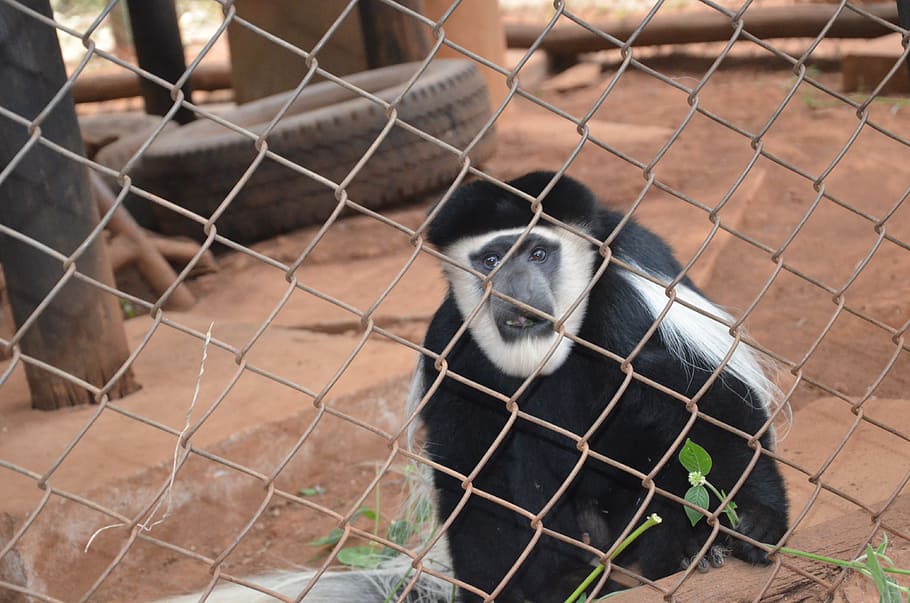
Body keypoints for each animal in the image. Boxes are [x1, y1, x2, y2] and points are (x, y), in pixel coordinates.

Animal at [158, 172, 787, 603]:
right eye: (490, 260)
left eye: (538, 252)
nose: (516, 288)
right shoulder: (450, 347)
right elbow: (468, 473)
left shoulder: (626, 291)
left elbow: (707, 394)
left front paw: (756, 525)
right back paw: (575, 578)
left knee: (653, 390)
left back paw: (684, 551)